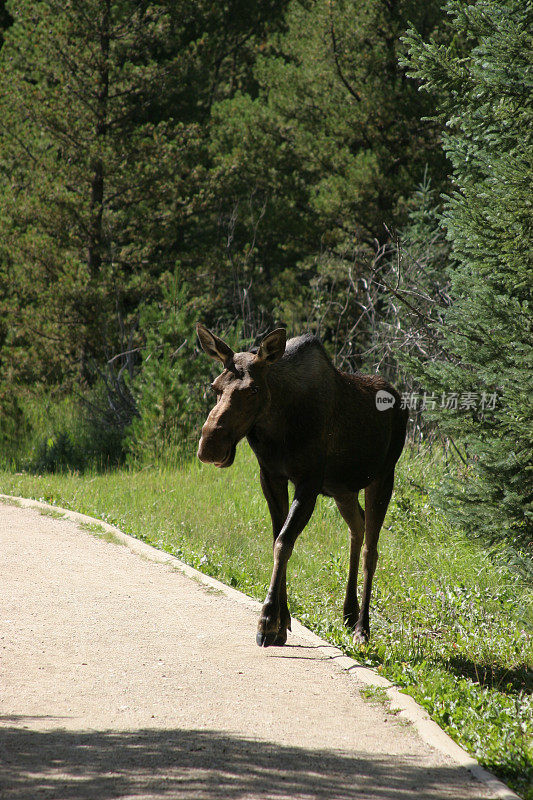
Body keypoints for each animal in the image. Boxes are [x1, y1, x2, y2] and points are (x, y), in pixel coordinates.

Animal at [195, 322, 408, 648]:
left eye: (253, 389)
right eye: (215, 387)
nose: (210, 446)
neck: (277, 428)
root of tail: (403, 403)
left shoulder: (309, 482)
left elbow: (284, 542)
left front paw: (267, 621)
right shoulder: (271, 475)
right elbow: (277, 539)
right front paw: (282, 623)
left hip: (383, 477)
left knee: (371, 550)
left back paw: (362, 627)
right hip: (343, 489)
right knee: (356, 528)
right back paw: (348, 612)